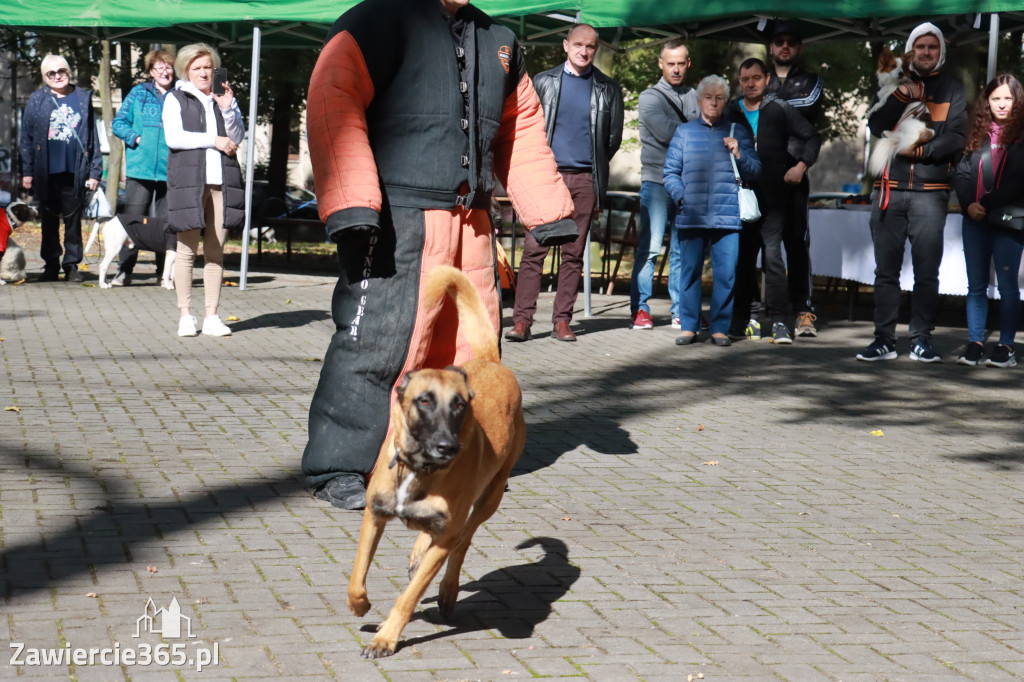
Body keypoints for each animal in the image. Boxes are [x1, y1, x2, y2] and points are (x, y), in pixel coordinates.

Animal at [350, 262, 528, 655]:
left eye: (460, 406)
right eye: (424, 401)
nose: (448, 446)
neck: (418, 470)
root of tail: (491, 362)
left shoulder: (446, 534)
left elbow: (410, 595)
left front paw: (386, 637)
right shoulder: (374, 516)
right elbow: (357, 576)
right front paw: (360, 604)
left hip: (489, 499)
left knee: (462, 542)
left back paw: (447, 589)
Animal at [864, 46, 937, 176]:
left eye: (903, 67)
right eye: (893, 65)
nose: (901, 73)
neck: (894, 83)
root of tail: (928, 132)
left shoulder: (888, 96)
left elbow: (879, 103)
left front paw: (871, 111)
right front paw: (870, 112)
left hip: (906, 122)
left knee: (899, 137)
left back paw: (888, 133)